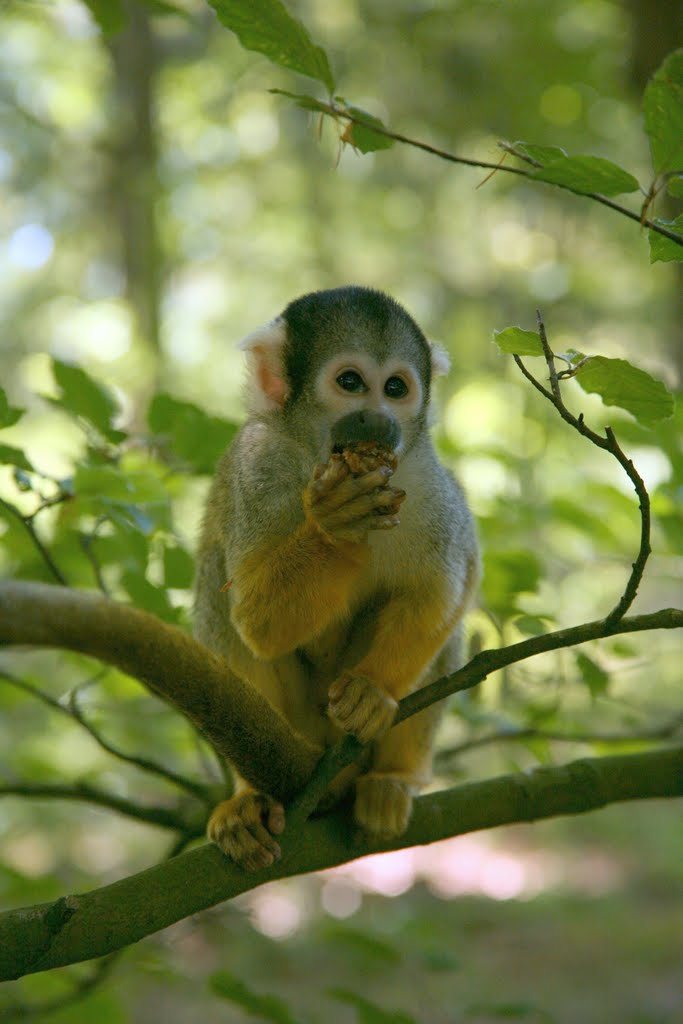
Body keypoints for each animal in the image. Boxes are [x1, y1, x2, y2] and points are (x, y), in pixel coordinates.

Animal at [193, 288, 481, 872]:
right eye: (350, 382)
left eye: (395, 388)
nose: (378, 420)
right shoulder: (258, 467)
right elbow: (256, 618)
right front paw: (334, 525)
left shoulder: (423, 477)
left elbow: (445, 589)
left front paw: (372, 691)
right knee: (217, 587)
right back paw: (250, 797)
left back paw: (391, 780)